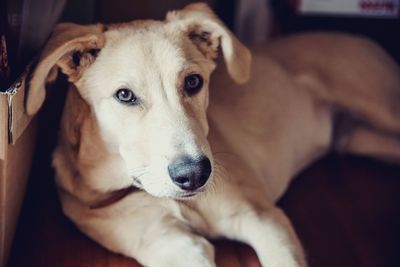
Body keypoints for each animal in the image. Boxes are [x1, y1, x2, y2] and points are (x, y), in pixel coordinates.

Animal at [24, 2, 400, 267]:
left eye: (193, 82)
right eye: (125, 95)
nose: (194, 174)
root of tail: (362, 38)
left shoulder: (264, 219)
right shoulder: (176, 247)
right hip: (363, 139)